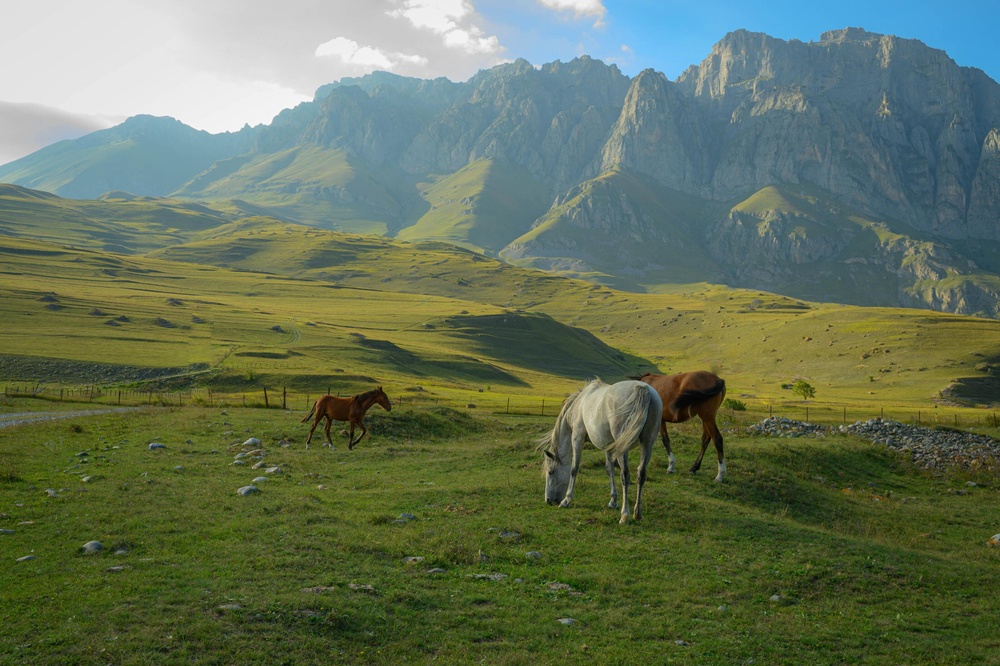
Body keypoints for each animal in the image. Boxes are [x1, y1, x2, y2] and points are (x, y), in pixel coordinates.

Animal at [540, 378, 664, 524]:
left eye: (551, 472)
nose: (548, 500)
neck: (578, 406)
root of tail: (643, 388)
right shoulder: (608, 447)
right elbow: (609, 470)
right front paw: (613, 501)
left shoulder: (577, 438)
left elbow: (574, 469)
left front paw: (567, 499)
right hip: (647, 443)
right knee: (641, 473)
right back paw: (637, 513)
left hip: (623, 448)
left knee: (625, 475)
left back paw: (625, 515)